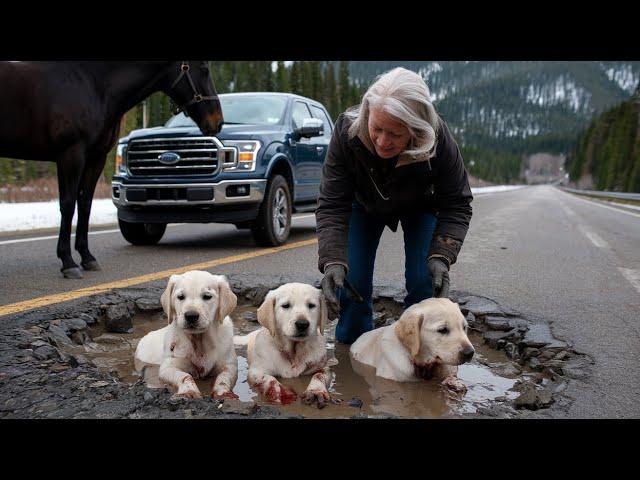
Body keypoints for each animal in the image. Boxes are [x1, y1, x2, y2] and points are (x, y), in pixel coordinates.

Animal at [0, 61, 225, 278]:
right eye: (204, 69)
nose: (217, 121)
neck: (92, 85)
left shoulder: (96, 157)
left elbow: (85, 204)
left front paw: (87, 257)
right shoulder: (70, 154)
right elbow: (68, 204)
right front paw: (68, 262)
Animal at [134, 272, 239, 400]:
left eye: (207, 296)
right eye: (180, 296)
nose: (191, 316)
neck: (198, 339)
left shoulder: (230, 365)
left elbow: (223, 378)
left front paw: (222, 393)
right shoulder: (167, 367)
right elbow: (184, 375)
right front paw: (188, 391)